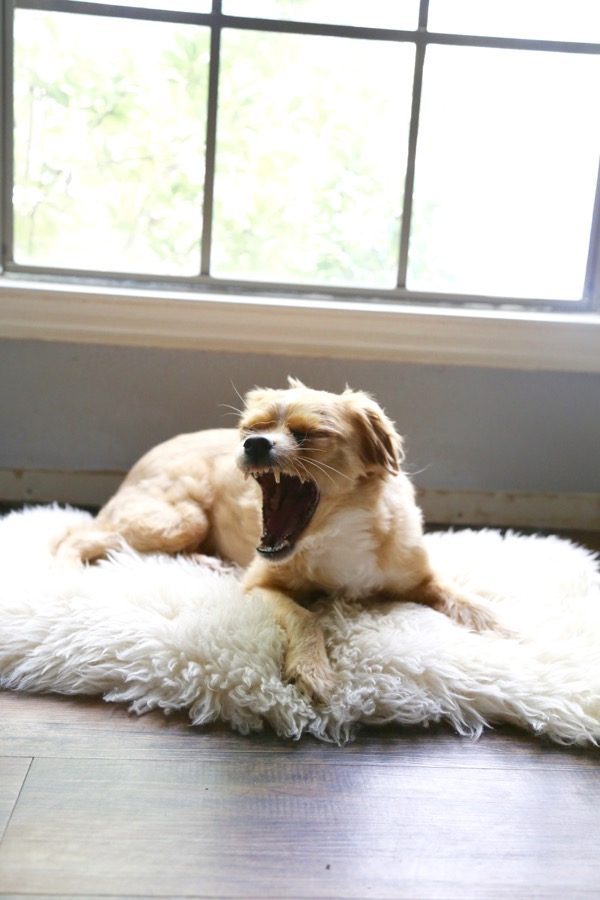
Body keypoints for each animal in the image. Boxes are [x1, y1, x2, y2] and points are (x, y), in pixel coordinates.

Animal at [56, 376, 500, 700]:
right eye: (251, 429)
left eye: (310, 435)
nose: (252, 443)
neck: (338, 531)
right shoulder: (259, 584)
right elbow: (306, 616)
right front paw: (312, 668)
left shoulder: (420, 577)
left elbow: (469, 602)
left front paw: (503, 636)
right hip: (180, 519)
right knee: (77, 538)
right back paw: (67, 578)